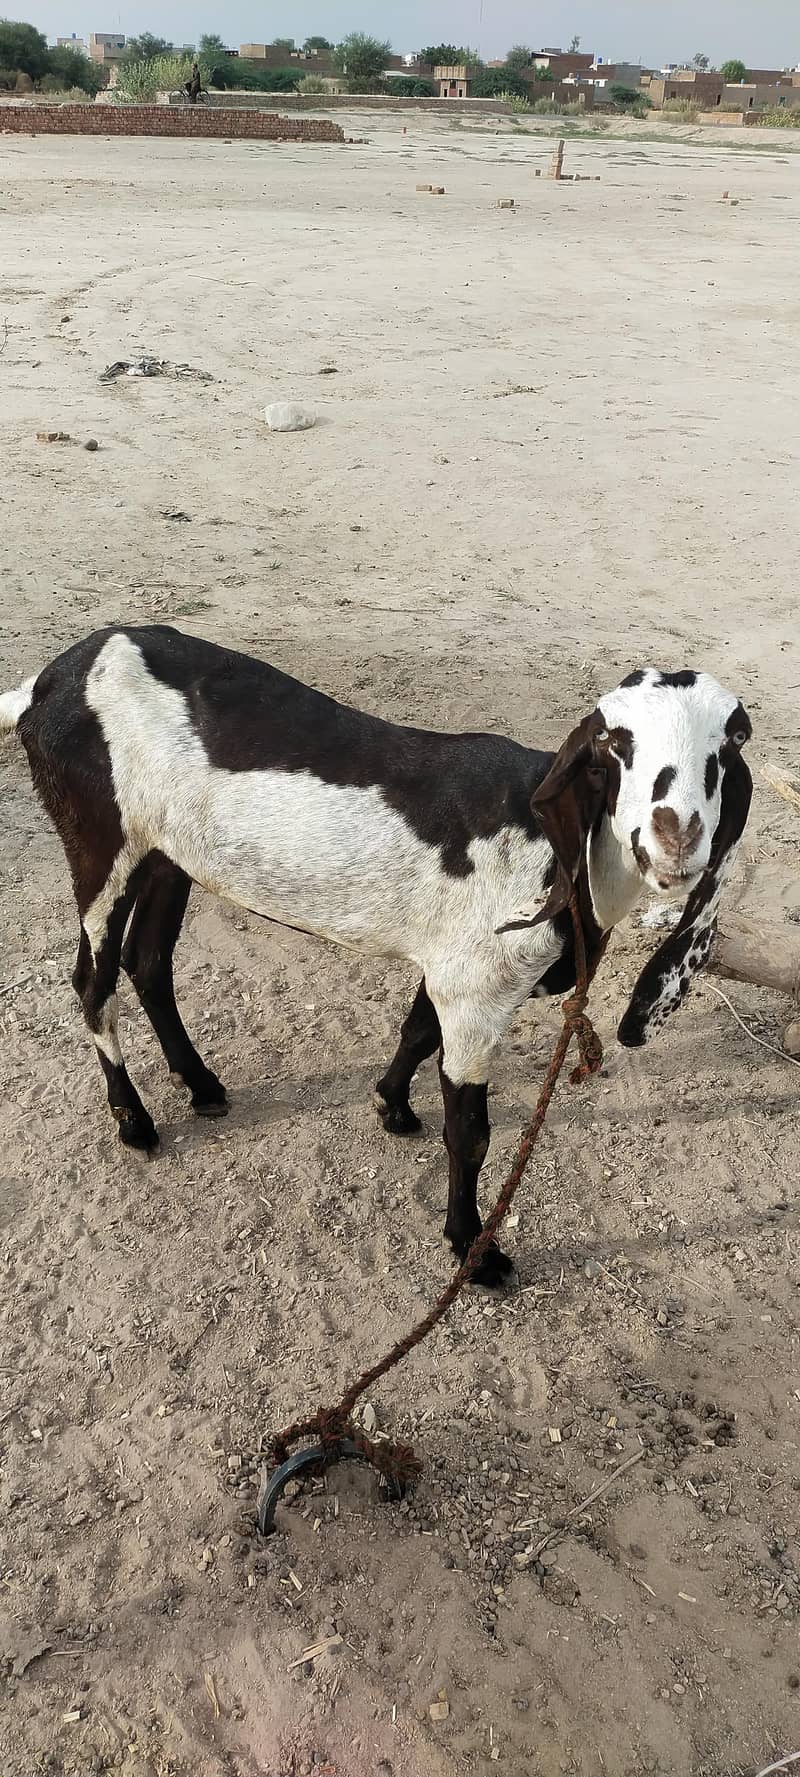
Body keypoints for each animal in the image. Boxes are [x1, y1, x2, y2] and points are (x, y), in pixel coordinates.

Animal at [0, 628, 752, 1286]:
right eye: (613, 745)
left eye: (730, 743)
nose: (675, 837)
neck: (551, 840)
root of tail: (49, 681)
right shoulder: (477, 991)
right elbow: (471, 1131)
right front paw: (473, 1251)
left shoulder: (452, 965)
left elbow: (417, 1028)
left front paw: (391, 1106)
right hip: (101, 838)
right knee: (93, 978)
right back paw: (133, 1120)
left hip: (167, 853)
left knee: (149, 961)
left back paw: (202, 1085)